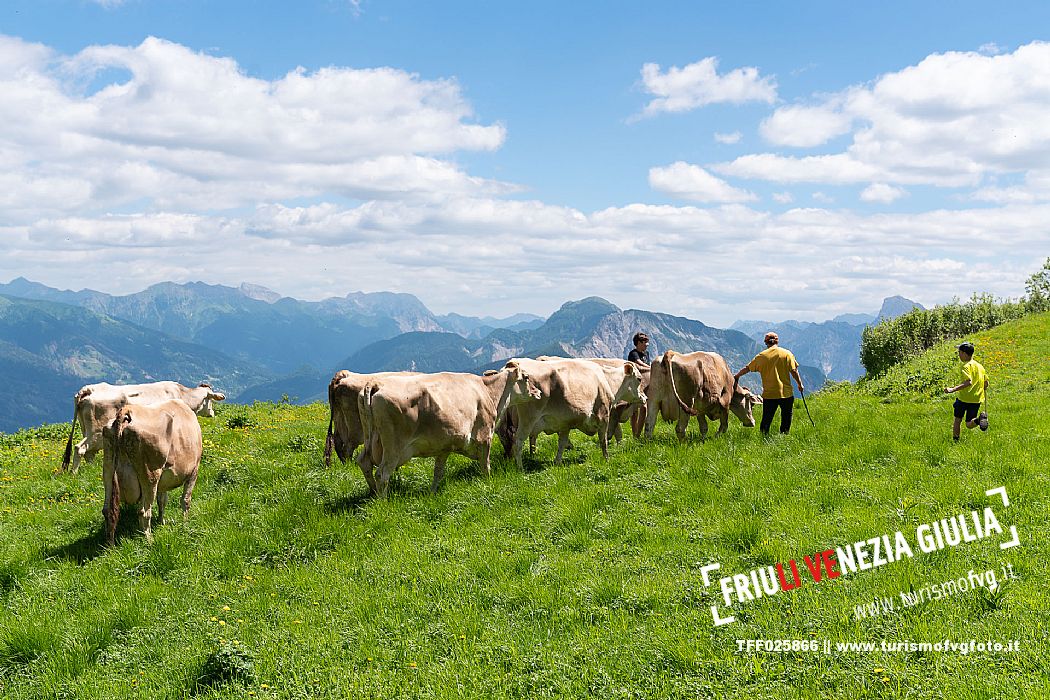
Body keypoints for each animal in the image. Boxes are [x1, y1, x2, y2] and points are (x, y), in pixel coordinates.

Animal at [61, 379, 223, 474]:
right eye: (211, 400)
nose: (212, 413)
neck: (182, 395)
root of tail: (87, 389)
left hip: (87, 431)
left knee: (89, 453)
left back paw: (91, 470)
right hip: (97, 433)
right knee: (80, 448)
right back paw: (74, 473)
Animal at [100, 398, 202, 541]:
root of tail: (127, 411)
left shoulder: (163, 482)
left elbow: (162, 500)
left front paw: (161, 522)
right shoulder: (194, 471)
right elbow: (185, 500)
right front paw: (185, 524)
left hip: (108, 469)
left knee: (108, 511)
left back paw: (110, 544)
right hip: (150, 474)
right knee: (144, 511)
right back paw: (149, 540)